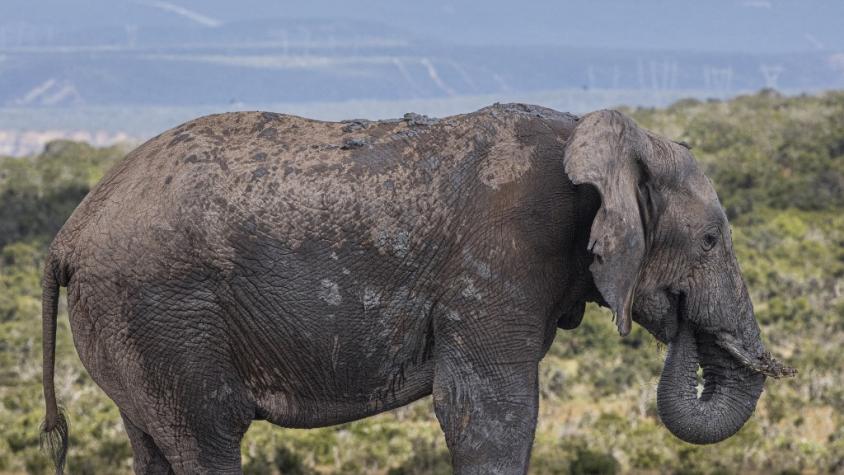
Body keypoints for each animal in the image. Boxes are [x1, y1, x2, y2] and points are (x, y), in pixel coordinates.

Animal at [38, 105, 792, 475]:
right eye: (710, 241)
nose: (681, 318)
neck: (594, 135)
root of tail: (65, 238)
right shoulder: (498, 265)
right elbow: (489, 414)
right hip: (161, 312)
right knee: (208, 440)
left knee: (154, 445)